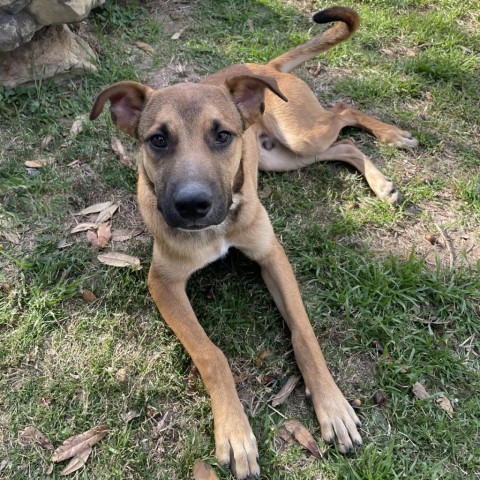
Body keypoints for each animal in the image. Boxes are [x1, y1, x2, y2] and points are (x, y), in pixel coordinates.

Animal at [91, 5, 416, 478]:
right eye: (158, 140)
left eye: (222, 135)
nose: (193, 205)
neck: (220, 226)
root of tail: (264, 67)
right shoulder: (164, 283)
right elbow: (212, 355)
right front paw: (235, 432)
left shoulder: (271, 255)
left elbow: (303, 332)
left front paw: (333, 407)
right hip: (281, 156)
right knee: (345, 146)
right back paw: (381, 178)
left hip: (298, 134)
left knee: (344, 112)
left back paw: (390, 140)